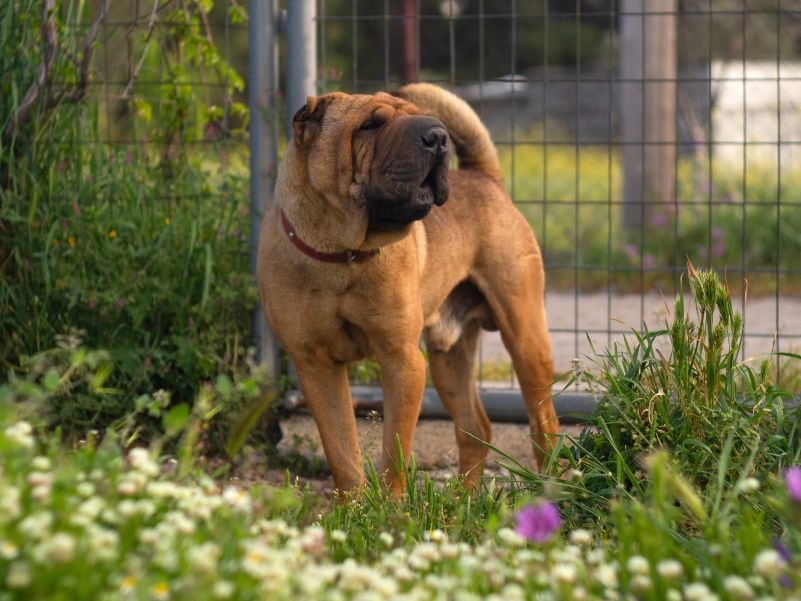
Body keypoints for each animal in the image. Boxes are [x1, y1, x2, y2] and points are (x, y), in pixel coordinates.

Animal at [256, 81, 556, 492]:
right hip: (450, 362)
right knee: (475, 429)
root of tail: (485, 178)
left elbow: (394, 452)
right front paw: (353, 506)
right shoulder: (315, 366)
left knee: (544, 425)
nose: (438, 136)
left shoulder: (402, 360)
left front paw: (391, 506)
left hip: (525, 338)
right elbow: (342, 453)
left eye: (416, 115)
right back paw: (461, 499)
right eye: (369, 125)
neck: (343, 252)